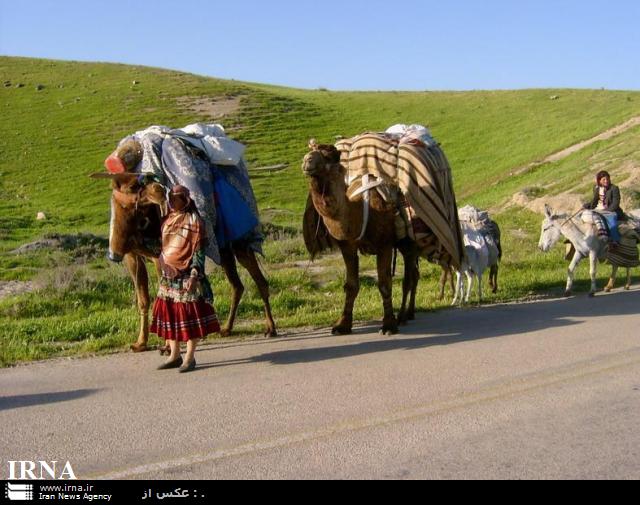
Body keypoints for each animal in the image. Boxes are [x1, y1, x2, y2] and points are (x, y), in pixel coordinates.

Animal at [92, 169, 278, 350]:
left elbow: (164, 292)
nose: (159, 190)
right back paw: (226, 329)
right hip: (224, 249)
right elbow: (143, 299)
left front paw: (168, 345)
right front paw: (140, 343)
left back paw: (270, 328)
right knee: (237, 285)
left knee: (259, 280)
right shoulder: (132, 256)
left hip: (239, 242)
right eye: (132, 186)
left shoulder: (160, 254)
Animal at [302, 143, 420, 334]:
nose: (307, 160)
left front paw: (388, 325)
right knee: (414, 275)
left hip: (409, 242)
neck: (359, 210)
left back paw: (403, 316)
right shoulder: (348, 247)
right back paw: (408, 314)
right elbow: (351, 286)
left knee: (409, 278)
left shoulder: (385, 245)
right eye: (310, 151)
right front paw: (342, 325)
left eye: (329, 156)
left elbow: (385, 284)